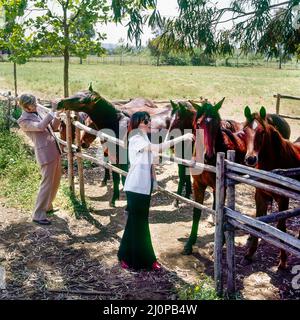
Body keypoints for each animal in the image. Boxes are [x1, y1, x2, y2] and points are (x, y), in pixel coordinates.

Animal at [243, 106, 298, 268]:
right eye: (244, 131)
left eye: (262, 132)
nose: (250, 159)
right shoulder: (261, 196)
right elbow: (257, 222)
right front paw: (249, 254)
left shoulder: (283, 199)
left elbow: (281, 227)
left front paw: (283, 261)